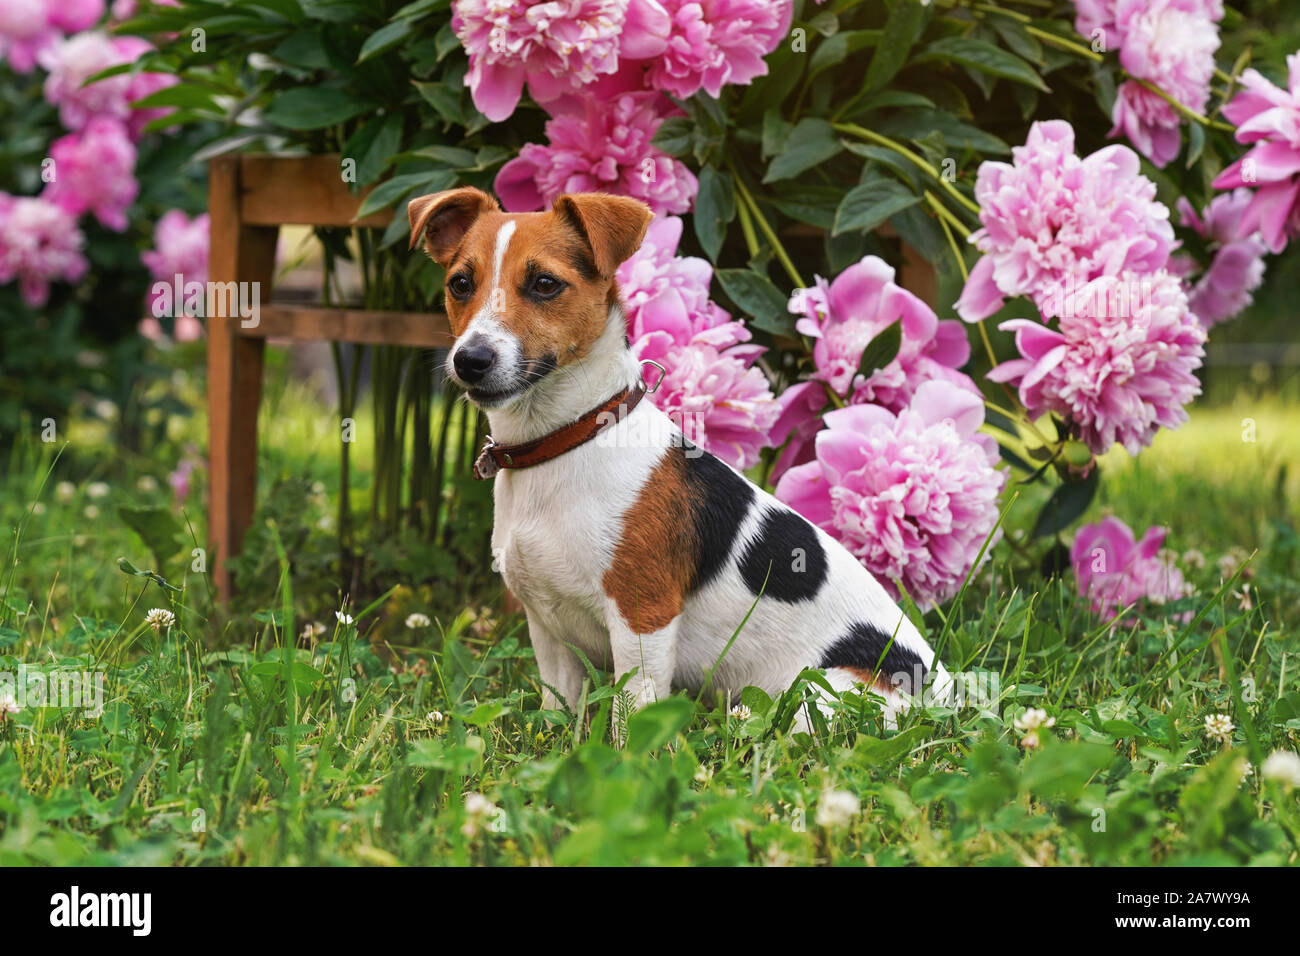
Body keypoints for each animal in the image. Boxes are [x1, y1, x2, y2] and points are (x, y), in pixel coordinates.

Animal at [410, 187, 951, 728]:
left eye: (545, 284)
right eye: (460, 284)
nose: (470, 360)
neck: (566, 439)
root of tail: (948, 694)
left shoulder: (642, 618)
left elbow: (630, 716)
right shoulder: (548, 630)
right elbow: (557, 711)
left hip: (821, 695)